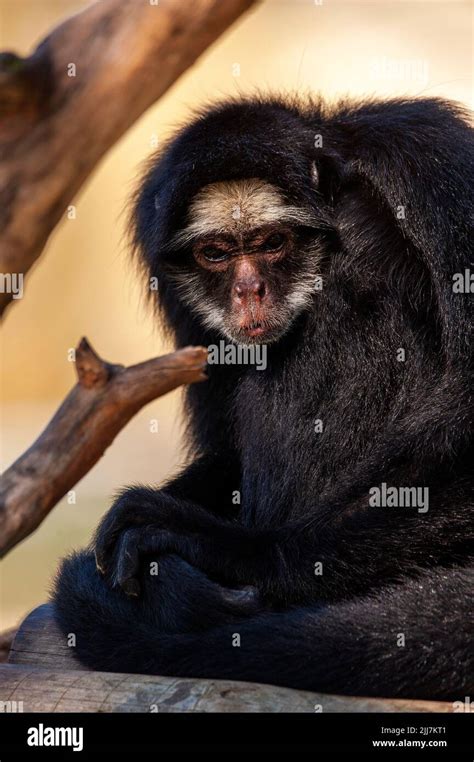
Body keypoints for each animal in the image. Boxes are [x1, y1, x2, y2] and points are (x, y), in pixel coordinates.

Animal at [53, 95, 472, 700]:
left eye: (273, 243)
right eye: (216, 253)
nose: (249, 290)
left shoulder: (430, 163)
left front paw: (222, 548)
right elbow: (225, 454)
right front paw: (172, 581)